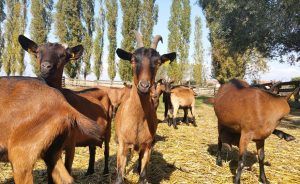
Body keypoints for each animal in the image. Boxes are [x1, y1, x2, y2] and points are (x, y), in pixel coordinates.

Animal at [18, 35, 112, 175]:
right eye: (38, 52)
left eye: (63, 55)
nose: (46, 66)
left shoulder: (71, 143)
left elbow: (68, 167)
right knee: (92, 148)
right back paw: (90, 170)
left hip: (109, 127)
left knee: (106, 150)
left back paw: (105, 170)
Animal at [114, 30, 176, 183]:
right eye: (133, 60)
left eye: (158, 62)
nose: (144, 85)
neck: (137, 121)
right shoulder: (123, 145)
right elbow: (119, 177)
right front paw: (123, 173)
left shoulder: (147, 147)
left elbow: (143, 177)